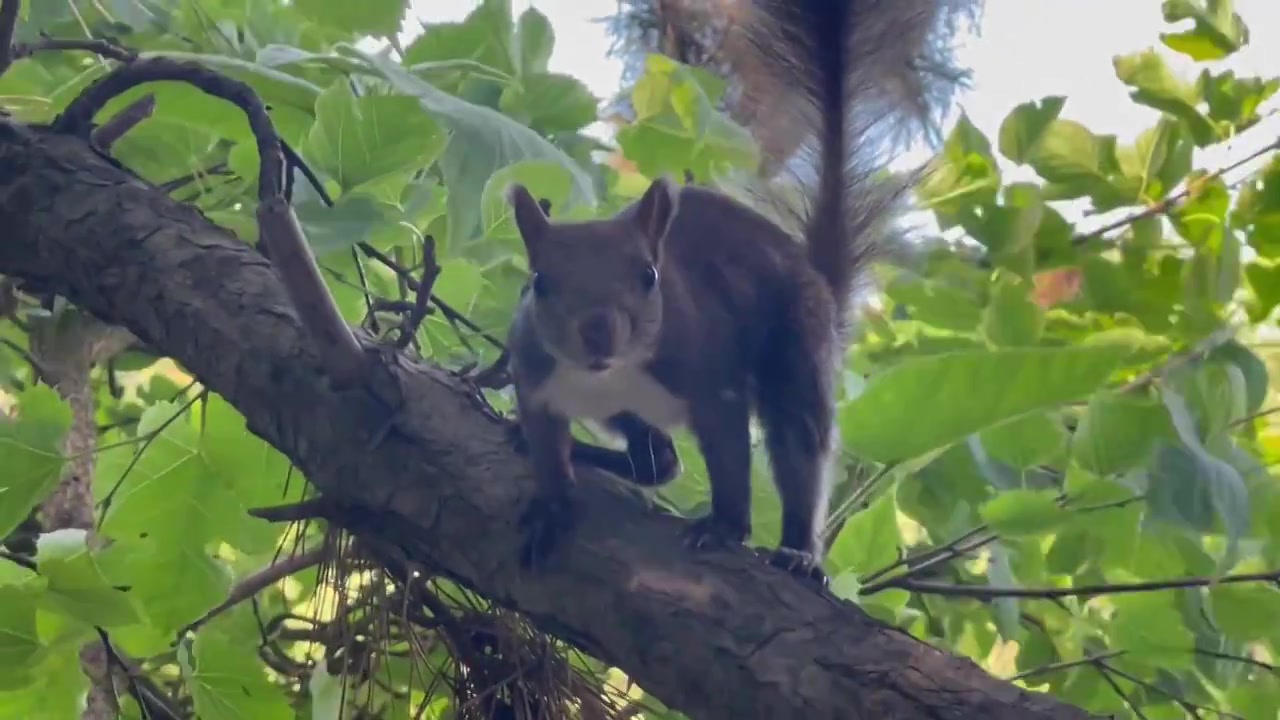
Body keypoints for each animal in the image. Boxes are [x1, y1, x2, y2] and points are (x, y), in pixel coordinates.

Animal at [499, 0, 967, 584]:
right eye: (539, 282)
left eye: (649, 276)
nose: (599, 330)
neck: (615, 373)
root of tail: (816, 279)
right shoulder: (534, 377)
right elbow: (546, 447)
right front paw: (552, 503)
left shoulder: (712, 376)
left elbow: (730, 456)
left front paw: (723, 527)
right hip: (618, 413)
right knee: (657, 461)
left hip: (797, 348)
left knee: (796, 446)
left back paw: (798, 552)